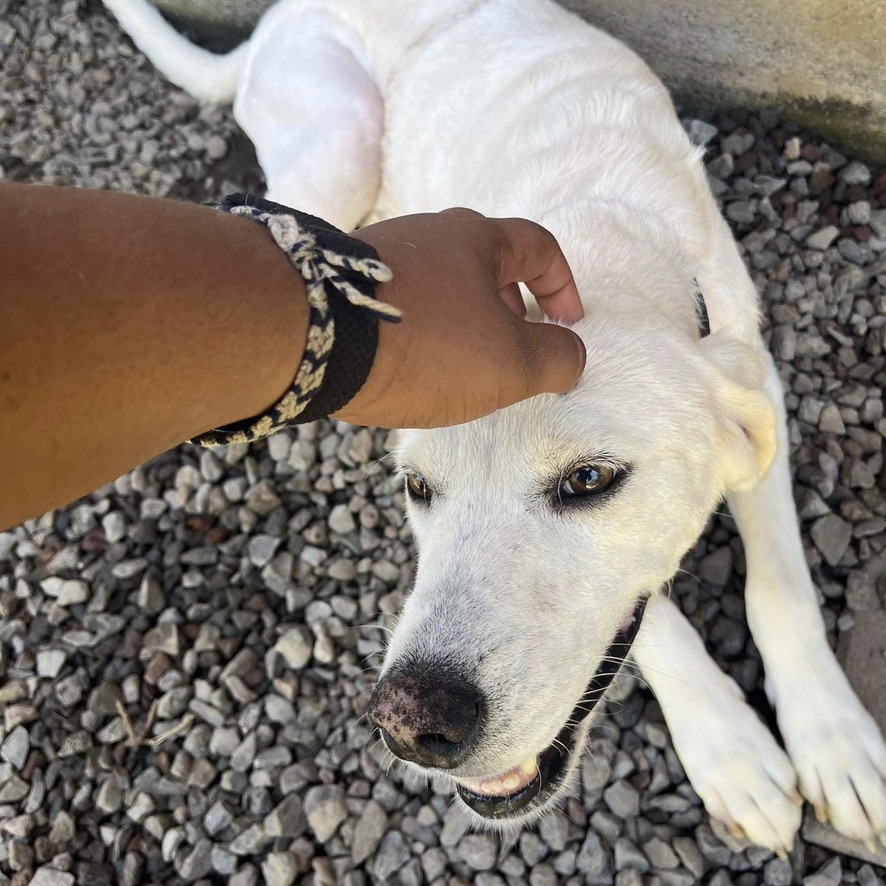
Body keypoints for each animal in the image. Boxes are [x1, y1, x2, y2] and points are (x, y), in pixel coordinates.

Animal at [106, 0, 886, 856]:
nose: (412, 725)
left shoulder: (758, 381)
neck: (593, 245)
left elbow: (779, 585)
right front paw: (732, 751)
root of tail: (270, 24)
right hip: (342, 138)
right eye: (418, 488)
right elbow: (661, 631)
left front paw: (834, 742)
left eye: (589, 479)